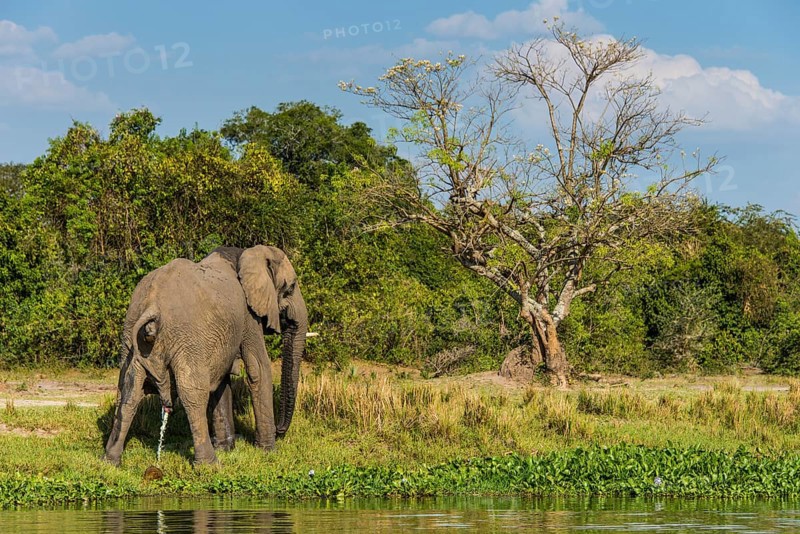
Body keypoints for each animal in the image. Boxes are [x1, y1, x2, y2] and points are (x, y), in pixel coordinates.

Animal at [103, 245, 308, 465]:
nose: (280, 430)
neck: (246, 253)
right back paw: (209, 465)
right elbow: (258, 370)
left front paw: (227, 448)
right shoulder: (248, 316)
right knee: (192, 394)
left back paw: (110, 461)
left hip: (132, 337)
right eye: (290, 288)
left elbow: (221, 379)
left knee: (128, 392)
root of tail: (152, 306)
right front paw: (268, 451)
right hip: (186, 338)